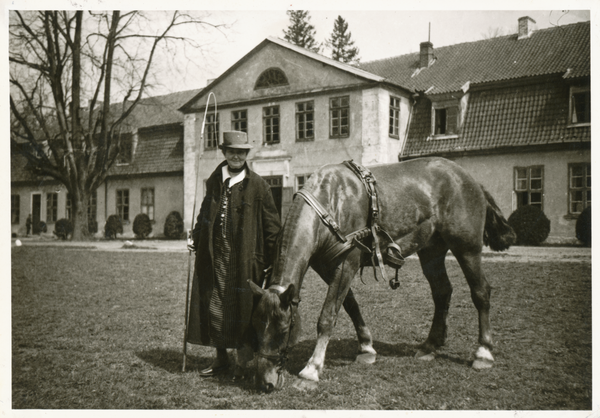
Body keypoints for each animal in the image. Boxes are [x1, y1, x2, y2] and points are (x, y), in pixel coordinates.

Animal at [248, 157, 516, 392]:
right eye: (256, 326)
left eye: (284, 329)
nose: (265, 382)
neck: (330, 203)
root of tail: (469, 179)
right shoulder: (327, 267)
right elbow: (350, 305)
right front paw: (366, 347)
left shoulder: (347, 263)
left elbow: (327, 316)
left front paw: (311, 369)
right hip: (432, 251)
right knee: (442, 293)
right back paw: (430, 345)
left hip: (466, 248)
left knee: (480, 292)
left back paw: (483, 352)